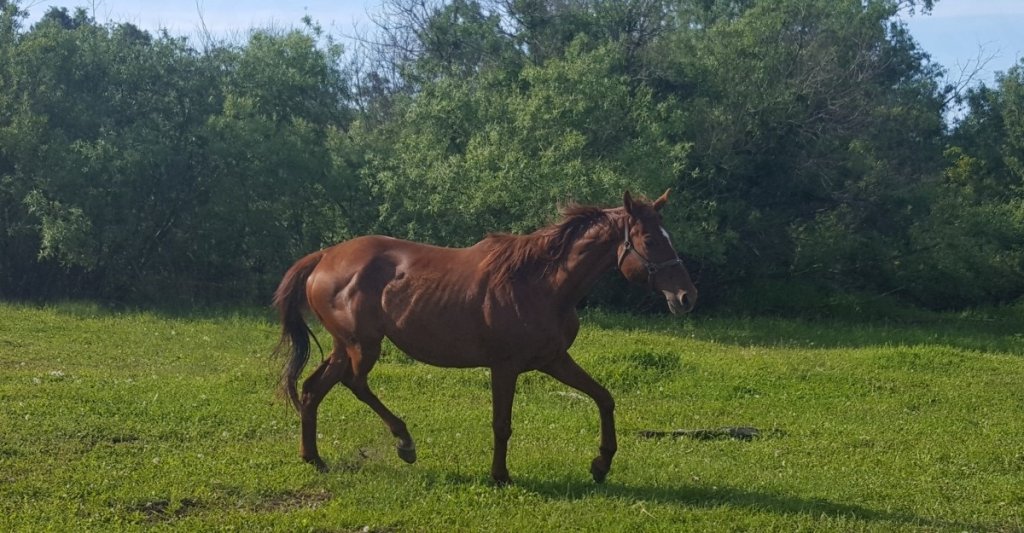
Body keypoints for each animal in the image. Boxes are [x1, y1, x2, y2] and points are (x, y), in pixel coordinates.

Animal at [274, 189, 696, 484]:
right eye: (650, 240)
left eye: (669, 237)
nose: (687, 297)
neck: (540, 283)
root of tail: (325, 256)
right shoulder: (505, 367)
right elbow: (501, 423)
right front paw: (500, 475)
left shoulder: (554, 359)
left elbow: (604, 398)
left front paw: (601, 464)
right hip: (363, 346)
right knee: (354, 383)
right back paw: (404, 442)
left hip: (344, 346)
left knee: (312, 389)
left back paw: (314, 458)